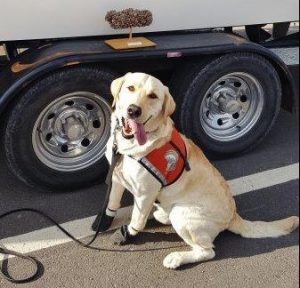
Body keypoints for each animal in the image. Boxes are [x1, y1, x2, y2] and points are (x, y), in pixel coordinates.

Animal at [102, 72, 298, 270]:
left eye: (153, 96)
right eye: (130, 88)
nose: (133, 110)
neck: (128, 145)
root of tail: (233, 216)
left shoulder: (144, 193)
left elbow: (137, 220)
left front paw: (128, 233)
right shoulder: (117, 178)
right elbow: (112, 202)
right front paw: (103, 223)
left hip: (183, 216)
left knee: (207, 251)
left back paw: (176, 258)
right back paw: (162, 215)